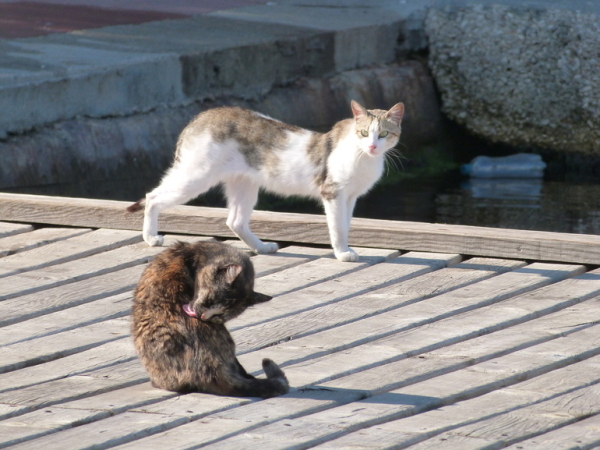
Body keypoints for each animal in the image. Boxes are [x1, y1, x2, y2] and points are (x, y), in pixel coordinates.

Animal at [128, 98, 406, 260]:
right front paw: (342, 253)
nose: (372, 146)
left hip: (244, 184)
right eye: (363, 133)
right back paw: (151, 238)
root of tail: (201, 117)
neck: (363, 158)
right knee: (152, 197)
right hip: (195, 177)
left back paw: (261, 248)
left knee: (235, 221)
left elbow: (346, 225)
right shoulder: (333, 193)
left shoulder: (350, 197)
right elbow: (337, 227)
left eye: (383, 134)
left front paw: (345, 248)